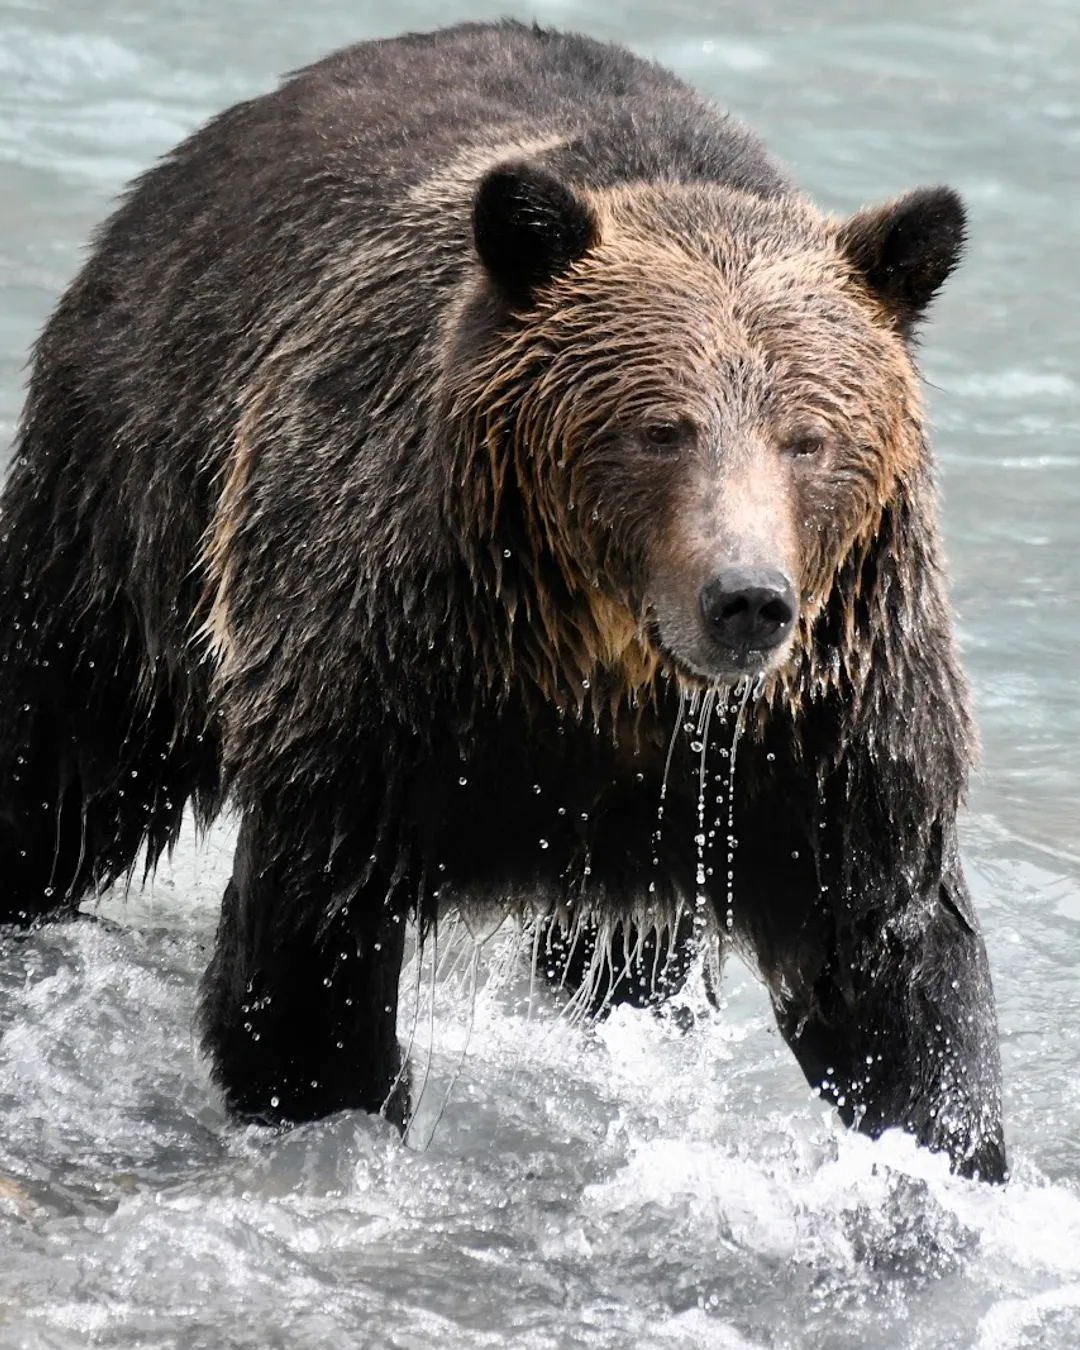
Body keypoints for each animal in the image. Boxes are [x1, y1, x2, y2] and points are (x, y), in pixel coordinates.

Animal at [4, 18, 1009, 1182]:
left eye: (810, 437)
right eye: (660, 427)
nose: (747, 600)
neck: (609, 672)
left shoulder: (821, 731)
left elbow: (893, 965)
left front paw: (950, 1158)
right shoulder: (387, 681)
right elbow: (309, 946)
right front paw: (335, 1108)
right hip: (130, 497)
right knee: (60, 755)